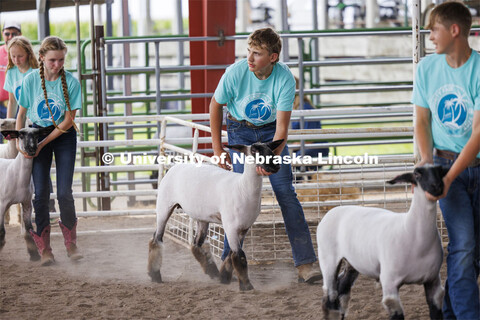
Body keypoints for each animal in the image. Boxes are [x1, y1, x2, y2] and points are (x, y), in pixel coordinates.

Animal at [146, 139, 282, 292]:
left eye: (271, 149)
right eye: (254, 151)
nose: (276, 165)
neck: (242, 188)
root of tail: (174, 167)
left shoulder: (244, 228)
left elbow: (231, 254)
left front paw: (225, 277)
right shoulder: (230, 227)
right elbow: (239, 256)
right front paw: (246, 286)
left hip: (201, 217)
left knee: (196, 244)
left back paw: (214, 273)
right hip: (164, 206)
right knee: (156, 239)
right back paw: (155, 275)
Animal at [318, 165, 446, 320]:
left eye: (440, 171)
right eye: (417, 174)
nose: (437, 186)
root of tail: (333, 210)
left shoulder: (433, 280)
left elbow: (436, 311)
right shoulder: (389, 283)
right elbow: (396, 313)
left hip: (353, 261)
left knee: (342, 287)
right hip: (328, 258)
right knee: (330, 294)